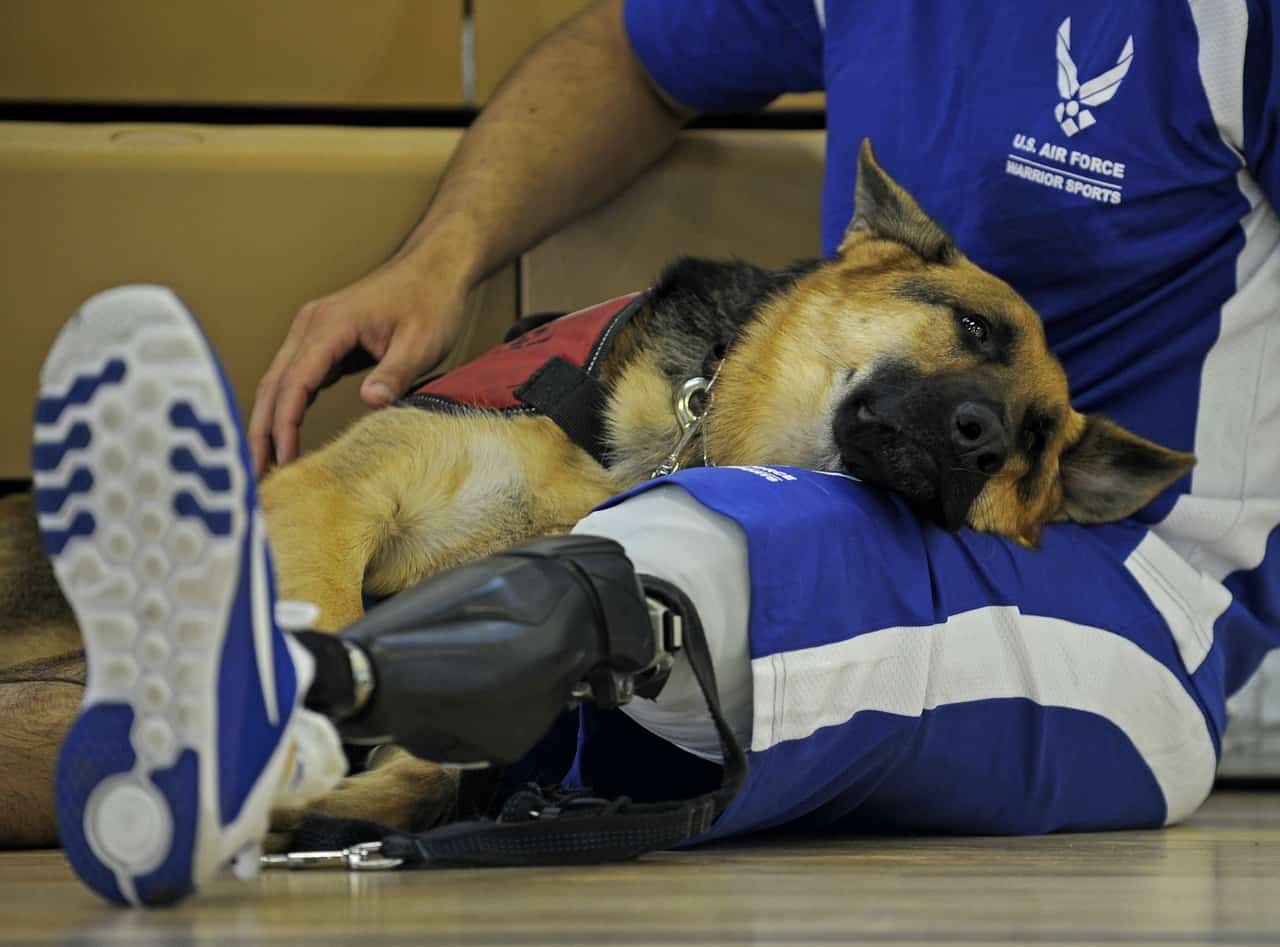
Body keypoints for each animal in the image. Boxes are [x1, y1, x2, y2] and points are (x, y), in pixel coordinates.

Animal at [0, 142, 1187, 844]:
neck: (670, 443)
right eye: (974, 327)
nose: (982, 444)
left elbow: (433, 766)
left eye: (1035, 442)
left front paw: (342, 802)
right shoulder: (330, 498)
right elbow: (327, 629)